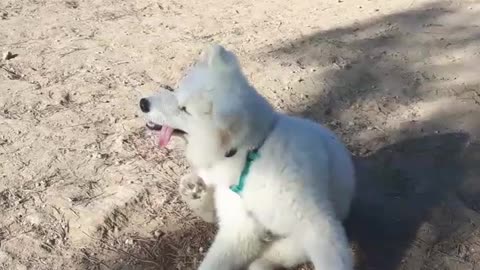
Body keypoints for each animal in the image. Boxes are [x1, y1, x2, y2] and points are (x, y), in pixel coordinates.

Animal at [140, 44, 356, 270]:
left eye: (184, 109)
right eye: (175, 91)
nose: (143, 103)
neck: (251, 156)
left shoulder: (317, 224)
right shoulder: (238, 228)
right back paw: (193, 189)